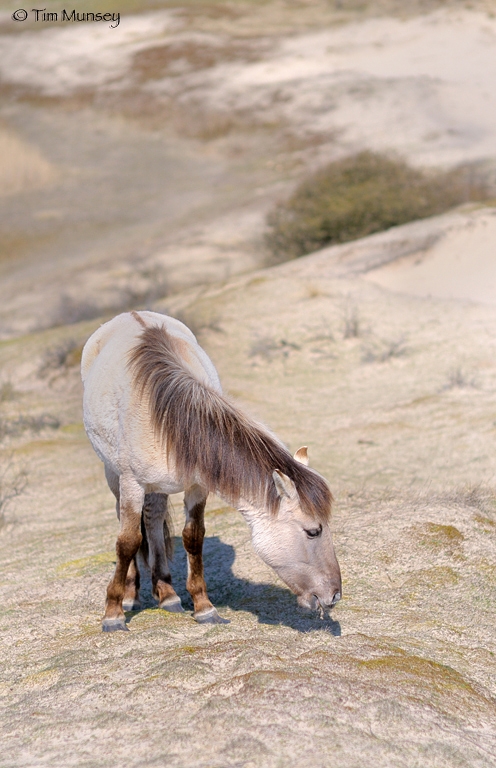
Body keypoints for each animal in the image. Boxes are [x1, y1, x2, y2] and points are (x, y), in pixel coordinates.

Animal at [81, 308, 340, 632]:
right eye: (313, 531)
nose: (335, 594)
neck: (169, 423)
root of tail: (131, 313)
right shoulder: (131, 484)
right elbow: (127, 542)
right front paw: (113, 613)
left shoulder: (197, 486)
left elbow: (193, 537)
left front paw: (203, 607)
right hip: (113, 474)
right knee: (130, 526)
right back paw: (132, 595)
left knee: (153, 522)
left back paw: (167, 594)